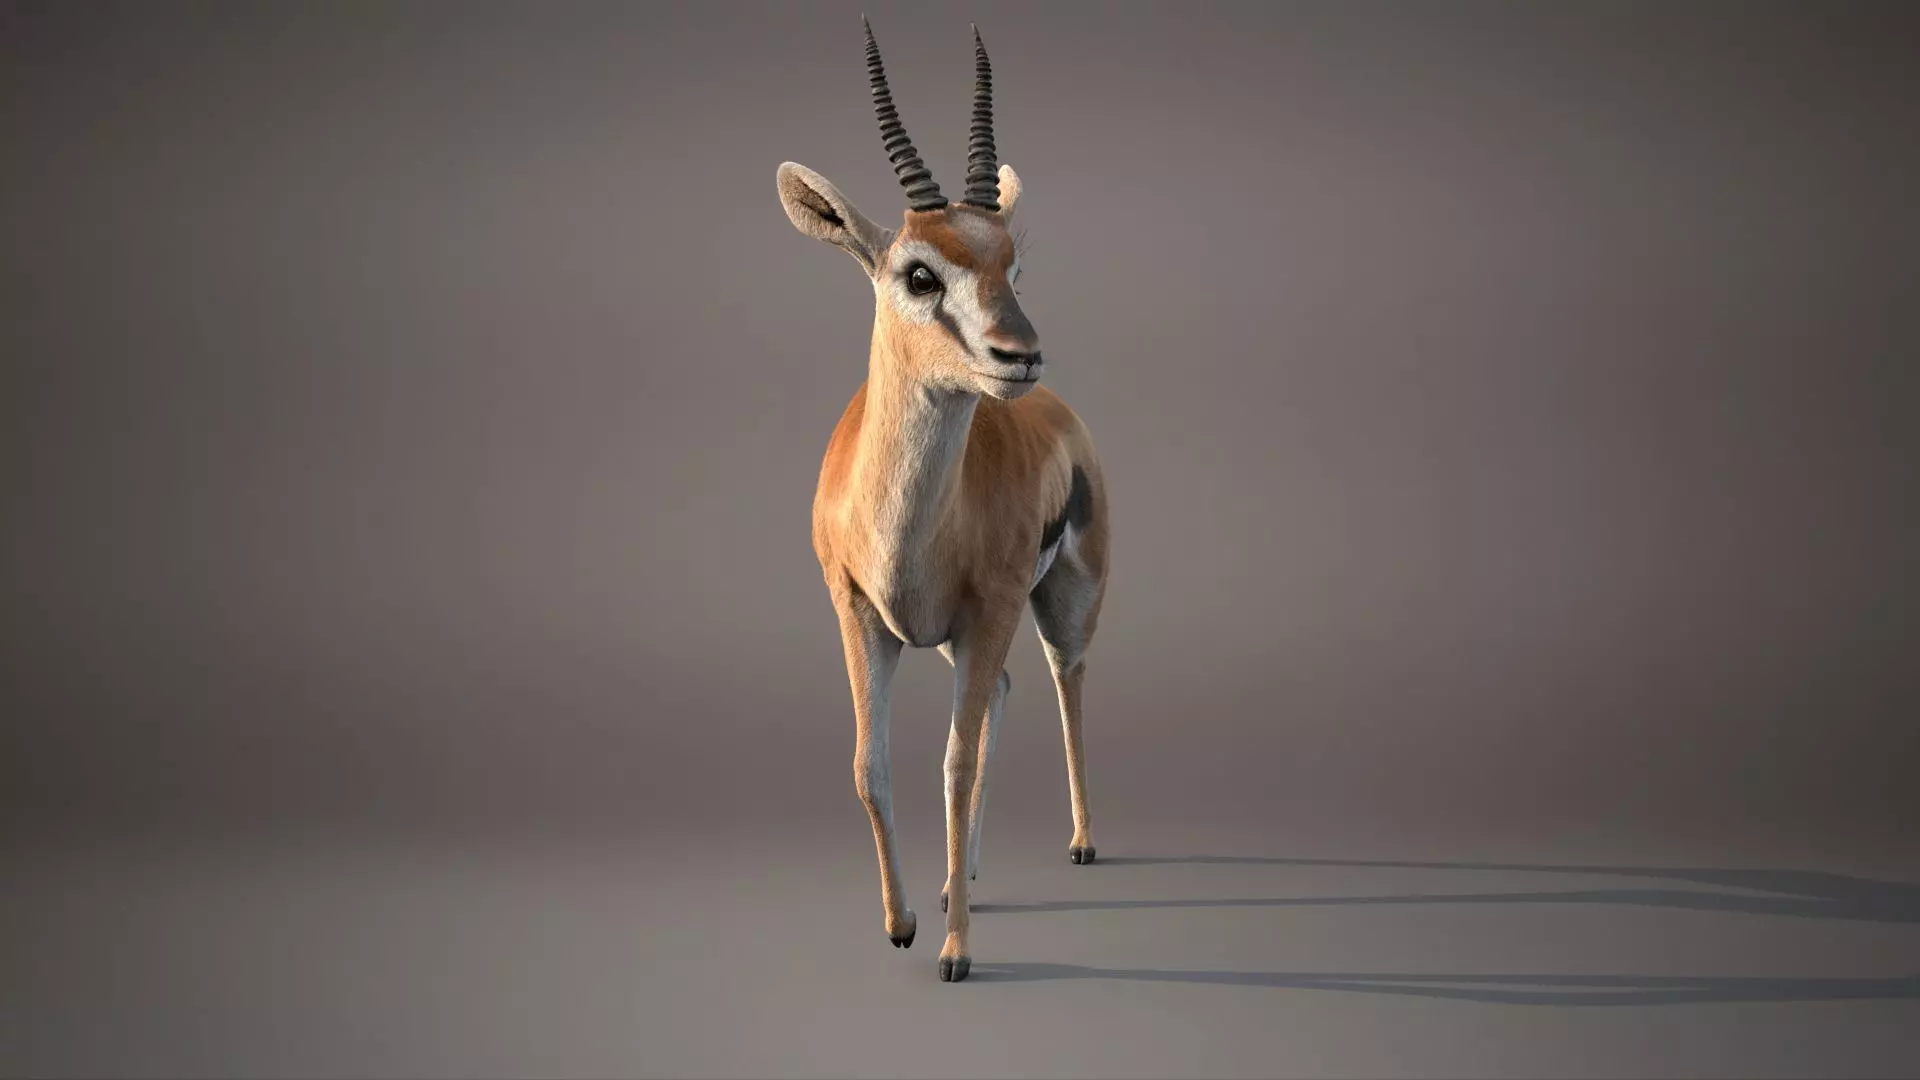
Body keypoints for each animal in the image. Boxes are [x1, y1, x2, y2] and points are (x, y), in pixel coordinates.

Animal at [775, 20, 1110, 984]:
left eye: (1013, 266)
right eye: (919, 273)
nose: (1019, 353)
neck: (909, 533)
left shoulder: (988, 609)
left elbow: (953, 765)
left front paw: (955, 953)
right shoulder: (859, 611)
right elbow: (870, 765)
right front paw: (904, 922)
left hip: (1063, 601)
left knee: (1064, 678)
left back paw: (1080, 843)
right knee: (1002, 694)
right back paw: (974, 880)